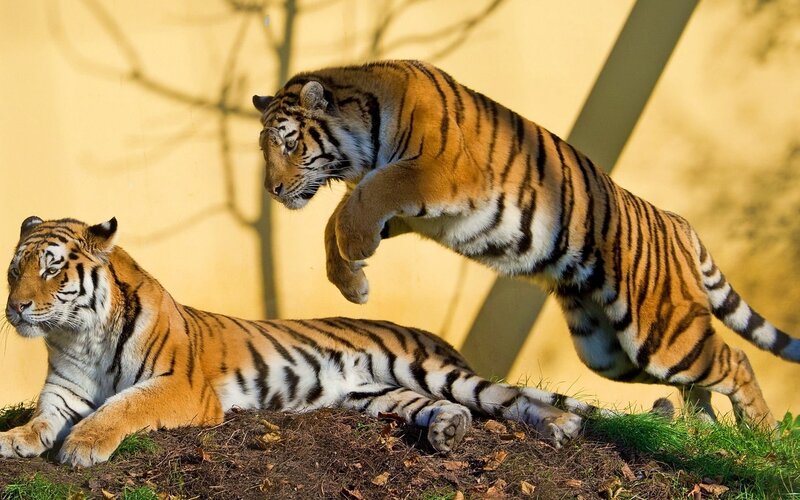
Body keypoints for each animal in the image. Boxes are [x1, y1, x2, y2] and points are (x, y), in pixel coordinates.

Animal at [0, 216, 630, 467]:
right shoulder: (62, 391)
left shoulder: (179, 386)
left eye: (52, 267)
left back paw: (560, 425)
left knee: (509, 397)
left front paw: (83, 444)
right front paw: (16, 439)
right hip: (378, 394)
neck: (79, 334)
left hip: (433, 370)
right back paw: (448, 432)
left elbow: (123, 407)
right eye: (15, 270)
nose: (16, 307)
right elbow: (41, 417)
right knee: (448, 409)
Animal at [252, 59, 800, 431]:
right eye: (265, 148)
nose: (272, 190)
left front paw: (356, 253)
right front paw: (350, 280)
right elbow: (338, 217)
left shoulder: (434, 173)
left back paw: (762, 436)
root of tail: (678, 221)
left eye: (289, 143)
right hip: (611, 353)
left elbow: (360, 201)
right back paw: (703, 431)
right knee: (701, 379)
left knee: (736, 359)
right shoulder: (411, 209)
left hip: (662, 332)